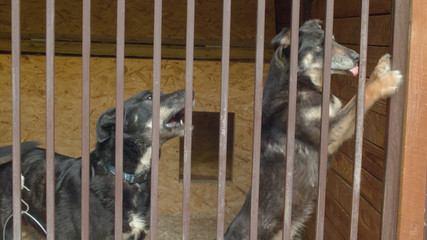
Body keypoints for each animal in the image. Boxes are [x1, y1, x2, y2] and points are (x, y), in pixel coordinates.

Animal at [226, 19, 402, 240]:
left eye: (335, 39)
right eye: (321, 45)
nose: (358, 57)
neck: (297, 85)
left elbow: (358, 95)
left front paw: (380, 67)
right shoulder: (330, 133)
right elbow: (361, 96)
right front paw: (387, 81)